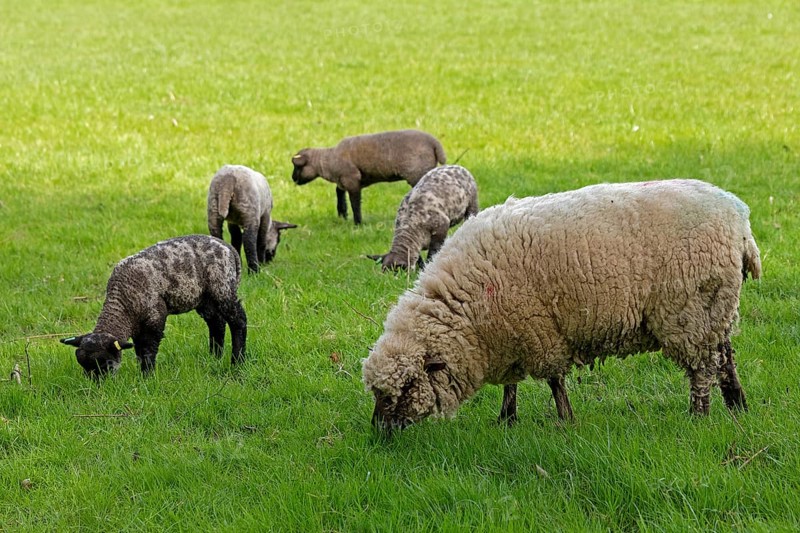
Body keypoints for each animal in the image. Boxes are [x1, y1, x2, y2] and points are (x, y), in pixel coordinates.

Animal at [60, 235, 247, 377]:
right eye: (83, 365)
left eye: (105, 363)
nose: (97, 385)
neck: (123, 302)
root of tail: (228, 247)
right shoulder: (137, 326)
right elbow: (139, 350)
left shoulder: (154, 318)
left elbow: (148, 350)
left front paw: (147, 375)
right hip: (205, 298)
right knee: (217, 323)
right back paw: (215, 356)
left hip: (222, 288)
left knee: (238, 321)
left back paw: (237, 360)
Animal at [291, 129, 446, 225]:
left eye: (297, 167)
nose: (292, 178)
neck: (328, 161)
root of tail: (434, 143)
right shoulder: (345, 180)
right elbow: (339, 192)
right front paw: (342, 213)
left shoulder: (352, 179)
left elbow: (355, 203)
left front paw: (358, 223)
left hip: (418, 173)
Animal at [362, 179, 761, 433]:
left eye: (404, 388)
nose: (378, 434)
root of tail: (740, 221)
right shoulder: (511, 334)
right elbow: (512, 383)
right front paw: (506, 419)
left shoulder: (537, 329)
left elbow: (554, 380)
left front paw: (565, 419)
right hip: (715, 308)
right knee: (725, 357)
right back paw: (737, 405)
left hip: (688, 311)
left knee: (702, 368)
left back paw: (699, 415)